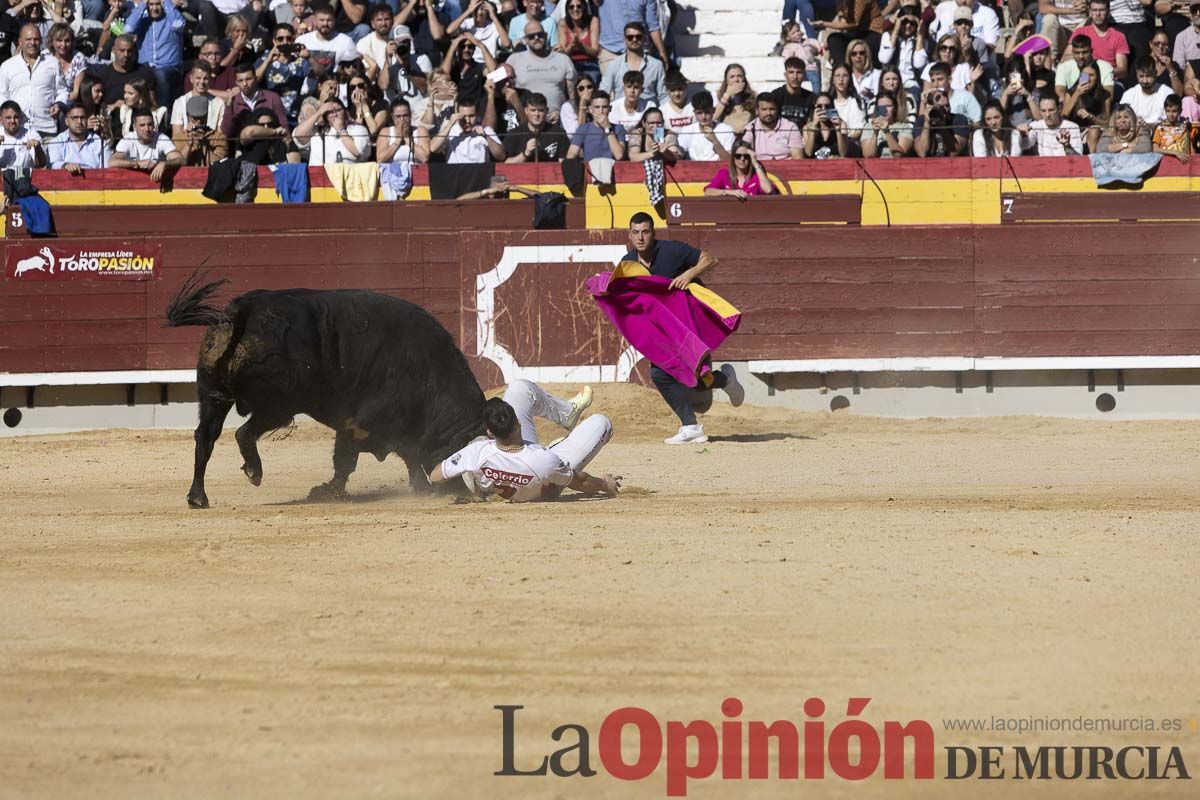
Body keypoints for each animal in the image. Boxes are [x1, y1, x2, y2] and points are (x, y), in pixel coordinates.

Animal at [165, 275, 487, 506]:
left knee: (205, 437)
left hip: (213, 396)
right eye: (458, 454)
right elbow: (361, 457)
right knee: (244, 432)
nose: (465, 494)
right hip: (279, 404)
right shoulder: (365, 423)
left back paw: (197, 497)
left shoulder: (370, 426)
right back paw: (254, 472)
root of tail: (244, 307)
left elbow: (387, 456)